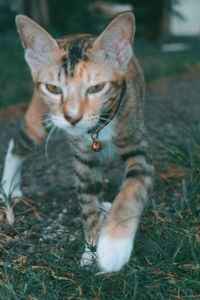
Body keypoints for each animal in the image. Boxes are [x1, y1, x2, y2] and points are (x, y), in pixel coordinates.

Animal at [0, 12, 154, 272]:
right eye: (53, 88)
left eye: (97, 87)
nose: (72, 117)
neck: (99, 129)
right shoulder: (83, 159)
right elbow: (88, 203)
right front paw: (92, 251)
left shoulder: (137, 145)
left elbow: (132, 189)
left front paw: (113, 246)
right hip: (40, 119)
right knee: (18, 144)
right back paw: (8, 187)